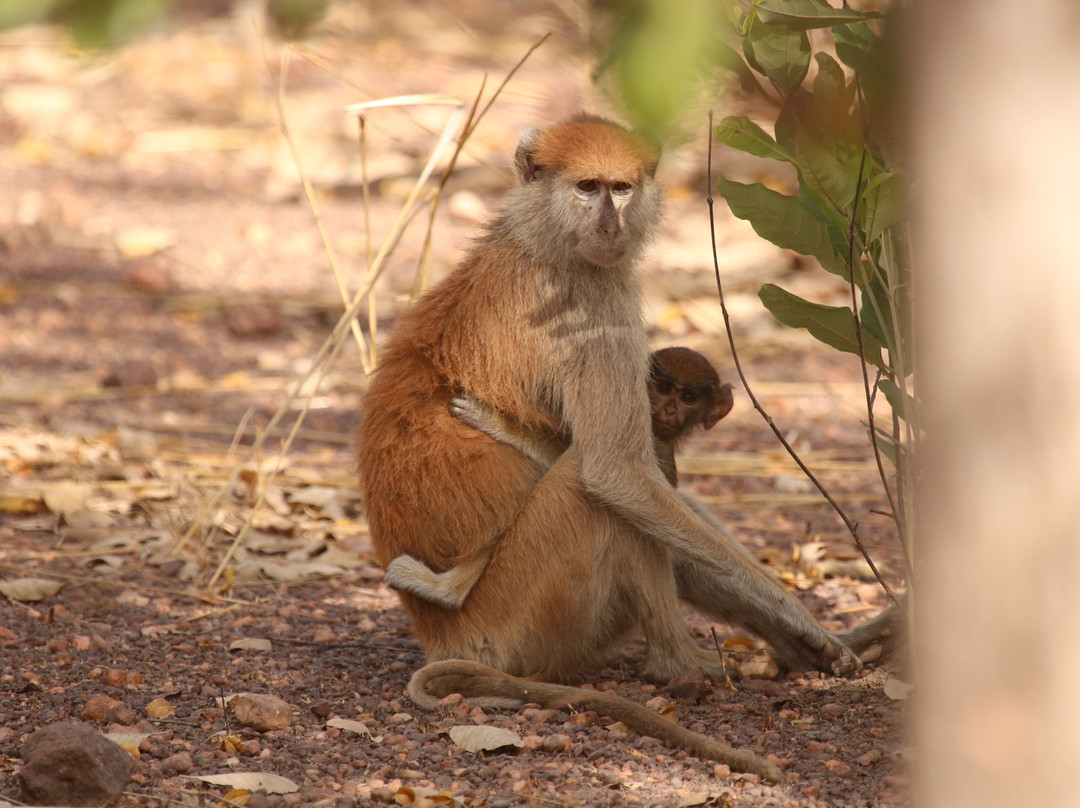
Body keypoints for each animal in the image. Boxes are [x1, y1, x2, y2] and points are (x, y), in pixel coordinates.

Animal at [386, 343, 734, 609]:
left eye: (688, 398)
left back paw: (448, 592)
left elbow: (597, 470)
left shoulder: (657, 447)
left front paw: (500, 422)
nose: (670, 410)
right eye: (663, 388)